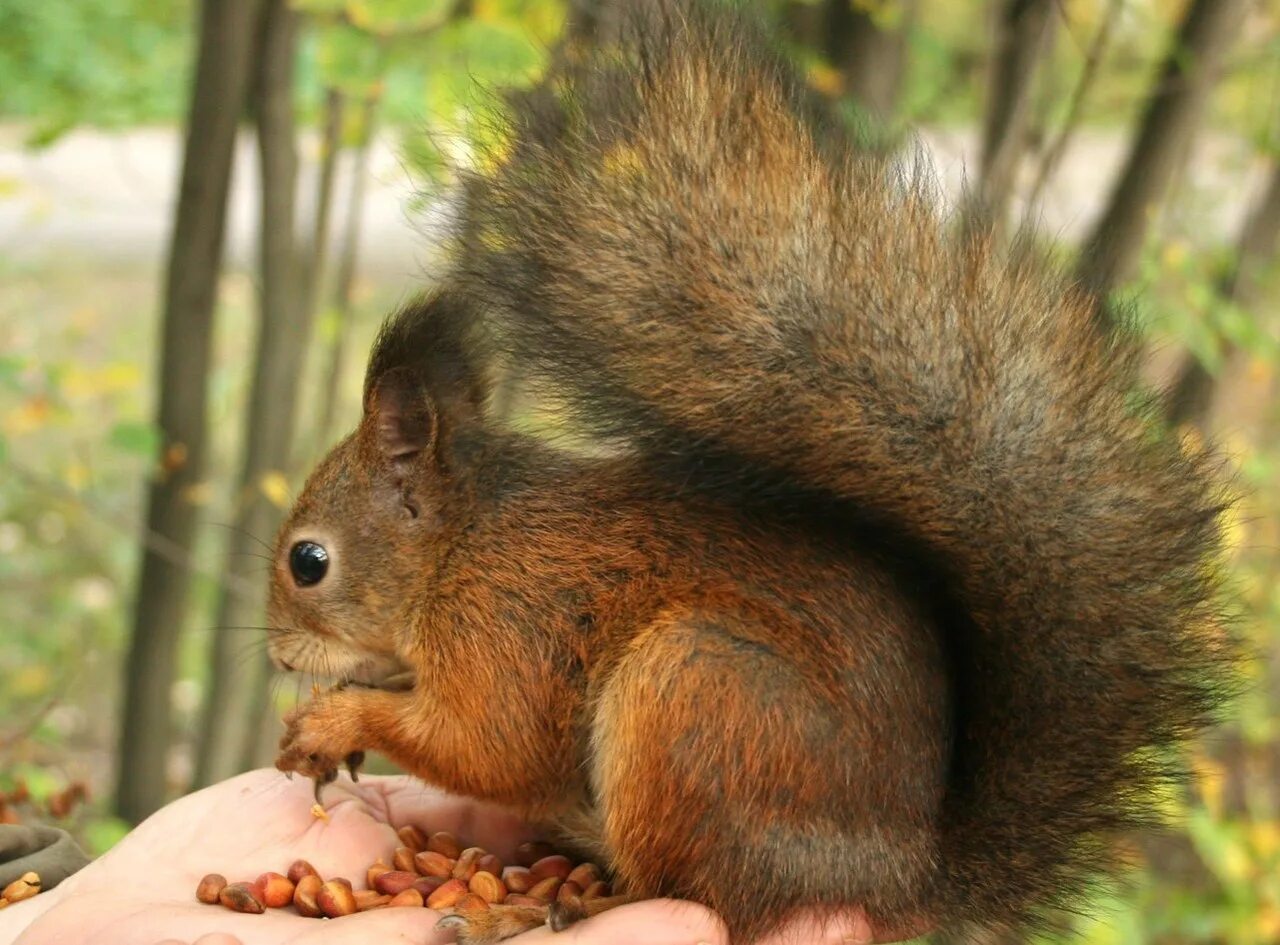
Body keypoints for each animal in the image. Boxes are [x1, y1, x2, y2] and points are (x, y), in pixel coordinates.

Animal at [264, 3, 1233, 937]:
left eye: (308, 561)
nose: (275, 653)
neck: (460, 547)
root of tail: (892, 875)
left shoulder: (509, 629)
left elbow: (483, 746)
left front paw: (335, 717)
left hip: (697, 698)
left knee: (688, 887)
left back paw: (542, 902)